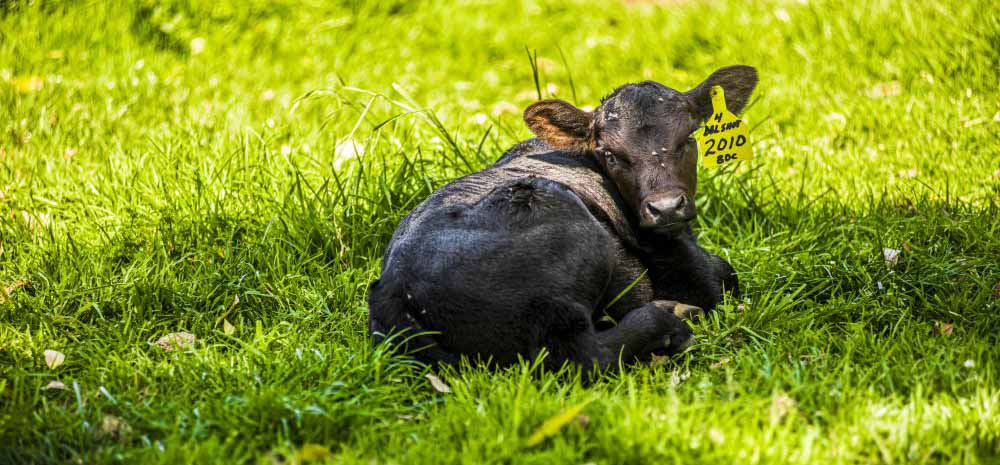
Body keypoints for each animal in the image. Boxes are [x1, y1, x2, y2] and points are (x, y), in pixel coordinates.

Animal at [370, 65, 756, 374]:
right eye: (610, 154)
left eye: (689, 138)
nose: (666, 207)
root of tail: (394, 285)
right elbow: (722, 276)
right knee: (587, 354)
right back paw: (671, 319)